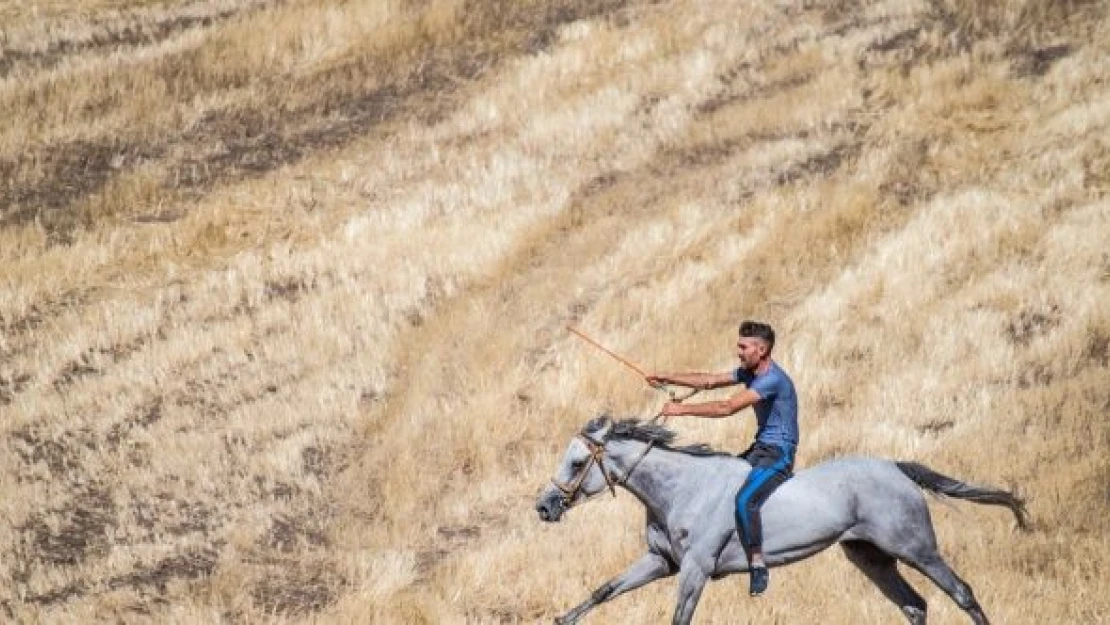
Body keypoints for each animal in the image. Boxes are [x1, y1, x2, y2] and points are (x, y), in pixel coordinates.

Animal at [532, 415, 1025, 625]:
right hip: (870, 558)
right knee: (914, 605)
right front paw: (563, 620)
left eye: (576, 463)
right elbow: (605, 589)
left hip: (915, 548)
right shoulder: (661, 561)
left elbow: (678, 618)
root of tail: (896, 468)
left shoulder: (694, 569)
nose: (544, 507)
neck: (680, 490)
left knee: (961, 593)